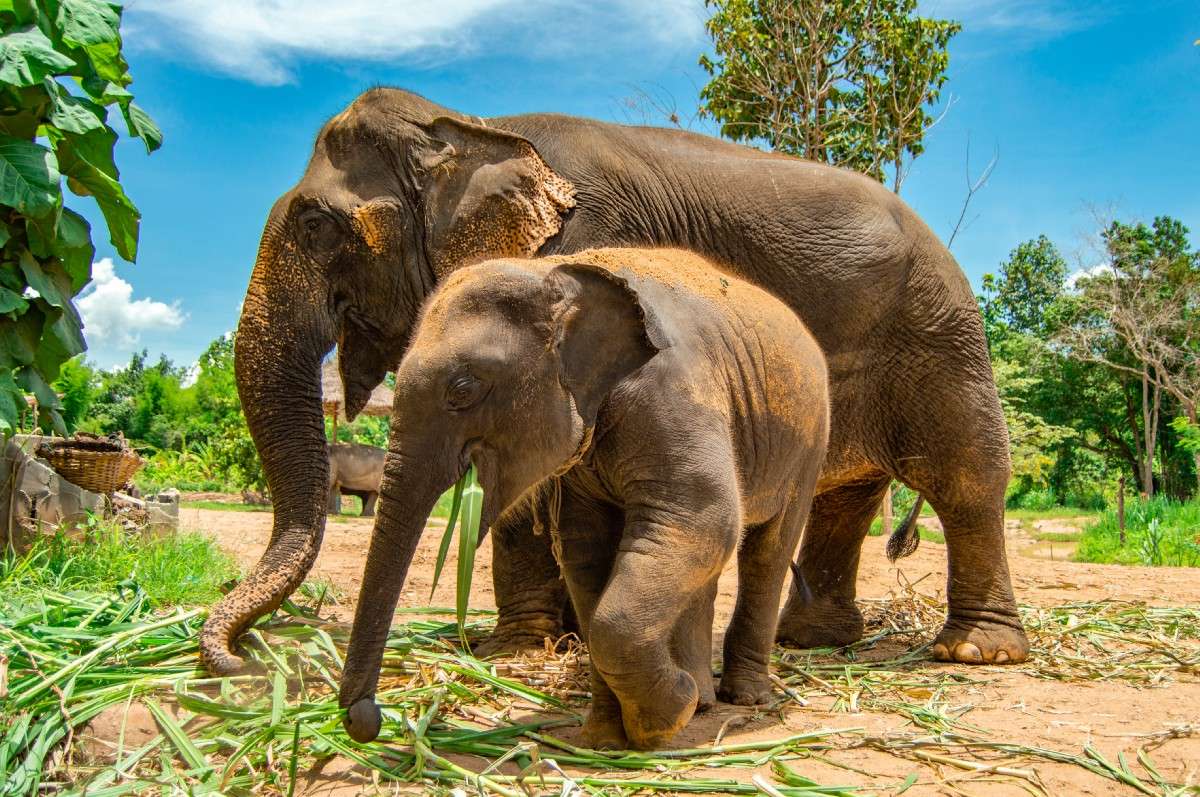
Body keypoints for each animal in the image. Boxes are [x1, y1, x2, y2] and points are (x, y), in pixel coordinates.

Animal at [201, 86, 1028, 677]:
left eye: (316, 226)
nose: (241, 659)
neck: (473, 129)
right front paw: (550, 640)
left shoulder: (585, 245)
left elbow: (536, 471)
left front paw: (516, 650)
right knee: (840, 501)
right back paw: (813, 642)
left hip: (940, 336)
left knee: (965, 475)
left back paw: (976, 651)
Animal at [338, 248, 830, 749]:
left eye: (463, 389)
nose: (366, 719)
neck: (555, 271)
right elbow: (587, 548)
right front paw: (606, 739)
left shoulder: (674, 392)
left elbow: (705, 517)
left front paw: (667, 716)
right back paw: (704, 700)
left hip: (811, 439)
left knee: (766, 550)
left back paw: (743, 698)